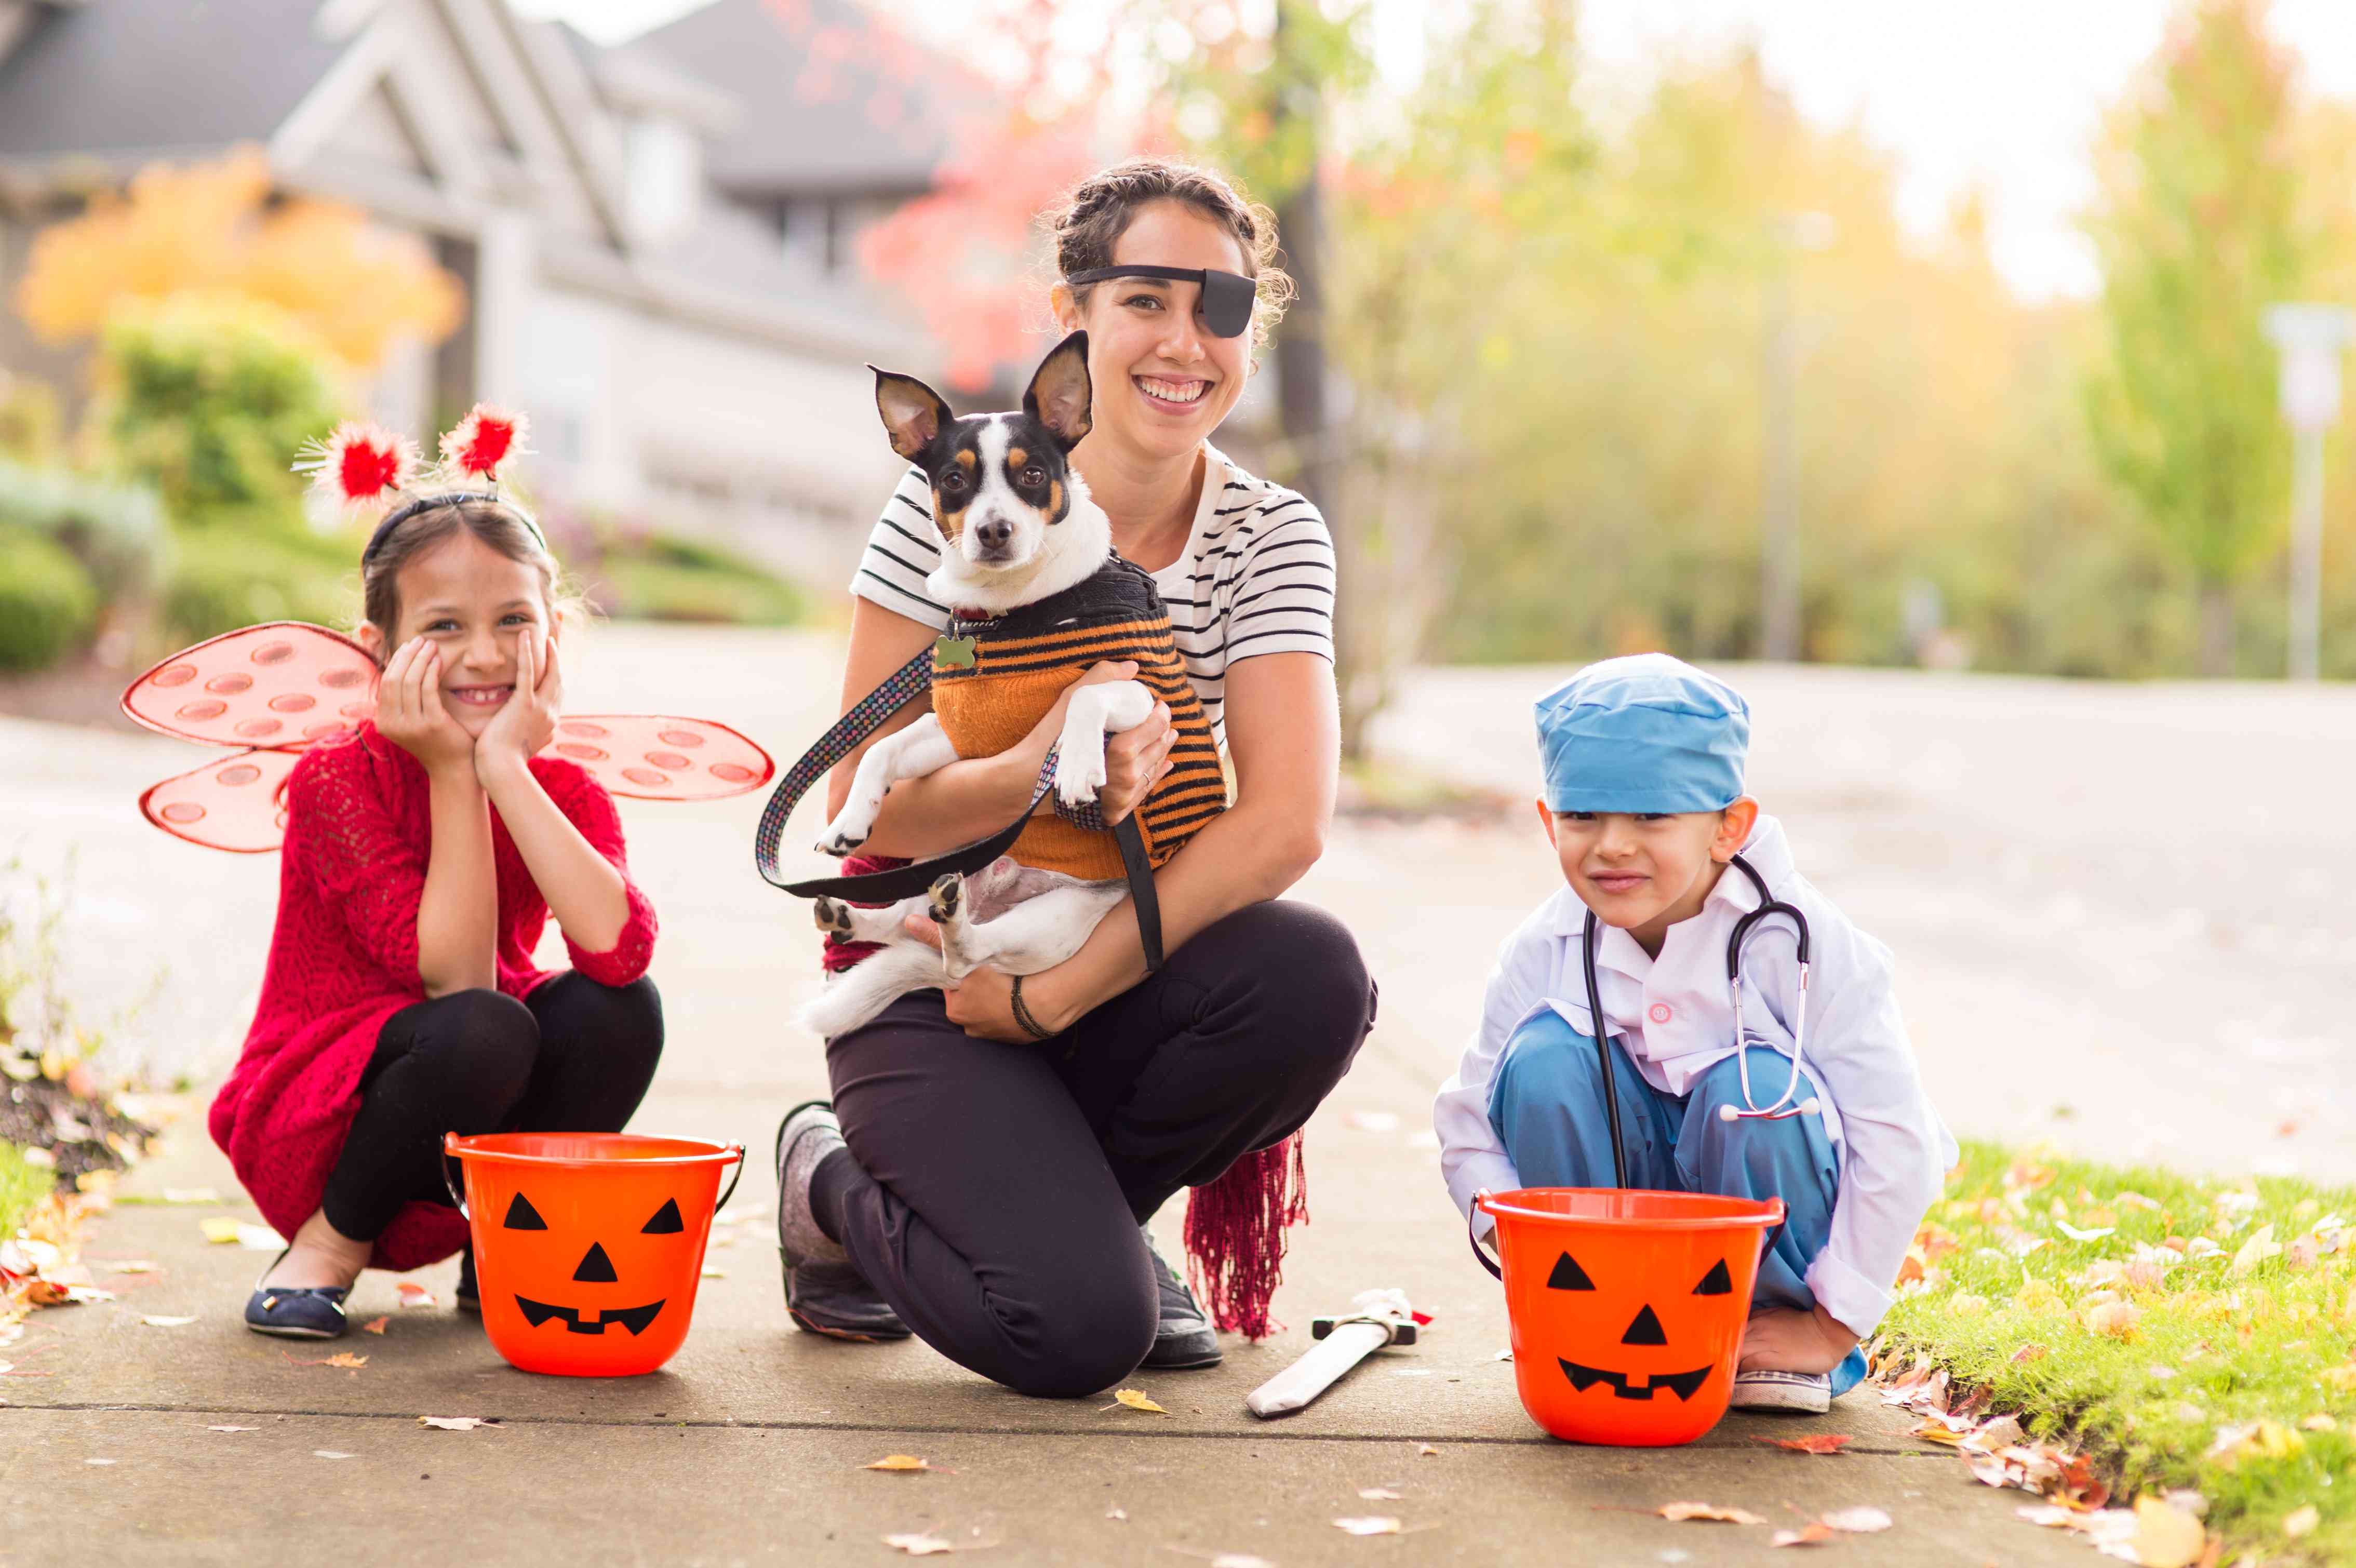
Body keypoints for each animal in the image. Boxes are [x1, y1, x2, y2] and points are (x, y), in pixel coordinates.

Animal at [796, 329, 1225, 1036]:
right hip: (942, 859)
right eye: (954, 480)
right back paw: (853, 914)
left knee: (966, 954)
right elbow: (883, 749)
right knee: (908, 923)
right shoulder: (959, 737)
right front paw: (851, 820)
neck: (1015, 611)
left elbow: (1084, 694)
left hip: (1055, 922)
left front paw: (1076, 768)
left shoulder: (1143, 694)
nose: (994, 530)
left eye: (1033, 475)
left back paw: (946, 926)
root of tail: (993, 893)